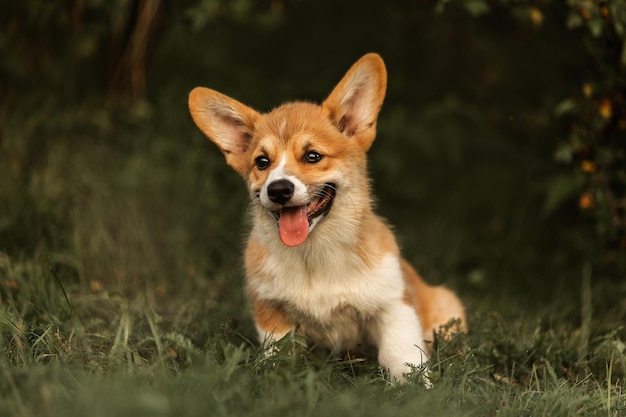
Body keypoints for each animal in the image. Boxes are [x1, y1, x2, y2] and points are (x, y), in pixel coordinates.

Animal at [188, 52, 466, 376]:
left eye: (313, 156)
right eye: (262, 162)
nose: (278, 190)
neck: (315, 254)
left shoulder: (394, 307)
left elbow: (402, 359)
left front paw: (415, 386)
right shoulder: (271, 312)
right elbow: (277, 360)